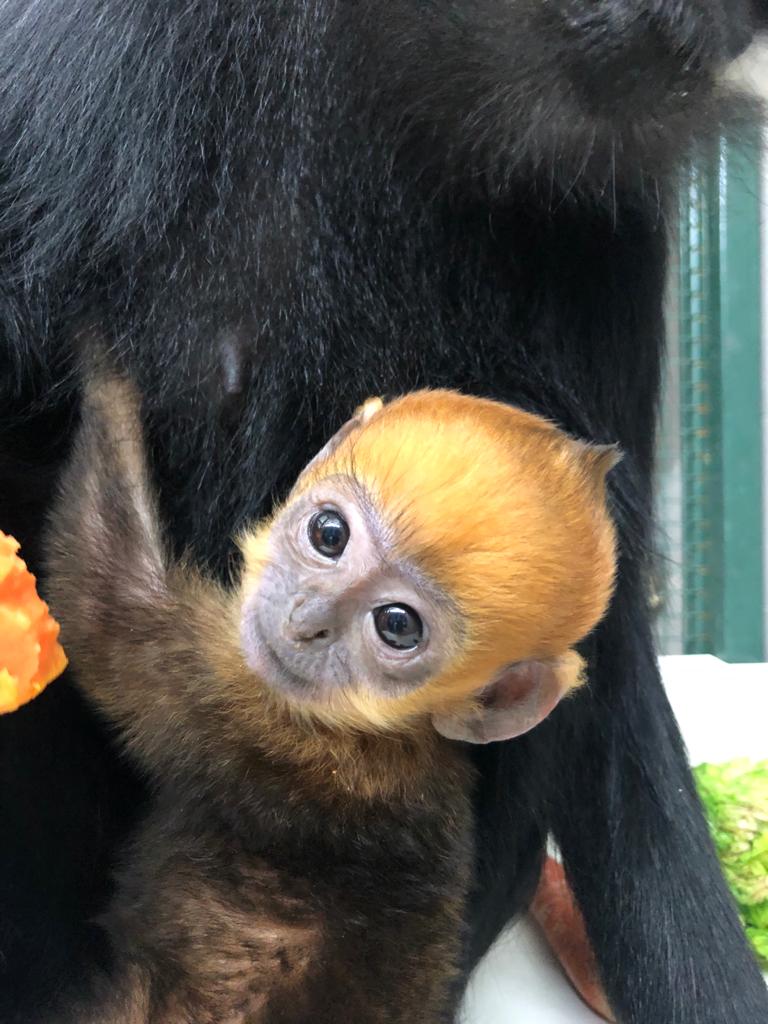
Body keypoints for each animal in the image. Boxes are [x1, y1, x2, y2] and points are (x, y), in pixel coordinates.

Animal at [43, 370, 618, 1024]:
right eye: (329, 534)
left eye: (397, 625)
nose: (308, 621)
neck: (391, 730)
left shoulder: (261, 720)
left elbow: (109, 607)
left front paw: (104, 373)